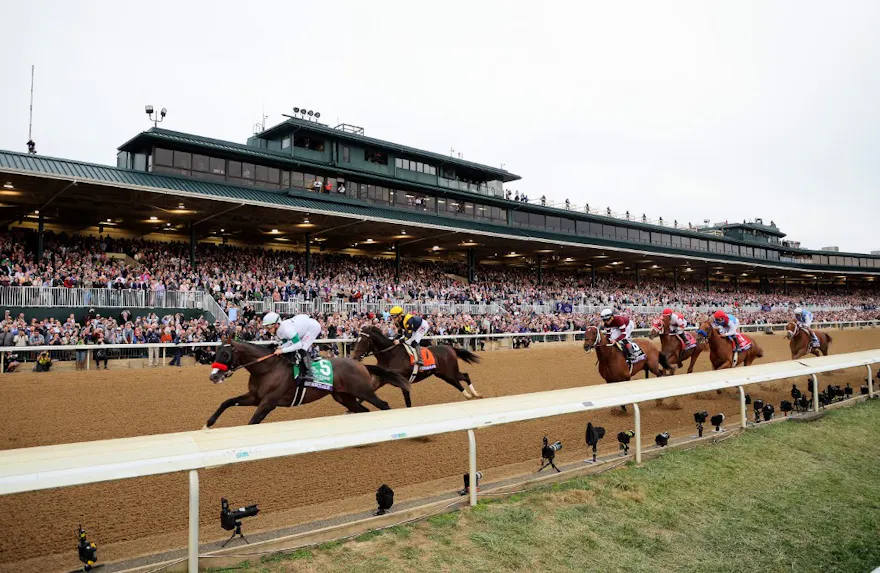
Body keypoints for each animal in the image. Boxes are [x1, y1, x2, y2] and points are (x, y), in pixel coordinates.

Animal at [206, 340, 412, 424]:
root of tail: (362, 365)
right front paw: (208, 423)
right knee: (363, 411)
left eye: (225, 354)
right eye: (215, 353)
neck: (267, 368)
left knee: (383, 405)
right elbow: (227, 402)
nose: (213, 376)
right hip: (344, 397)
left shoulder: (268, 402)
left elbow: (252, 422)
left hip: (364, 392)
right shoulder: (254, 397)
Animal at [352, 322, 484, 406]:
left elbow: (408, 401)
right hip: (443, 374)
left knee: (464, 377)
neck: (390, 355)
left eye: (364, 340)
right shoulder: (382, 379)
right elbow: (365, 394)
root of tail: (450, 347)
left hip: (449, 372)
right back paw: (471, 395)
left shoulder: (403, 381)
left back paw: (473, 394)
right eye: (356, 339)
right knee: (461, 379)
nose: (354, 357)